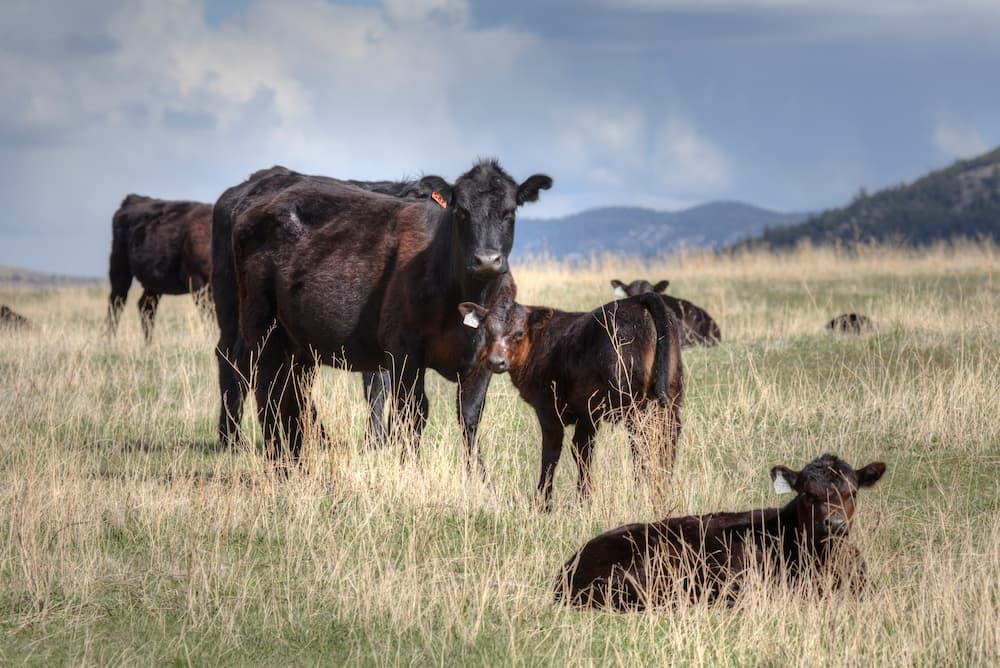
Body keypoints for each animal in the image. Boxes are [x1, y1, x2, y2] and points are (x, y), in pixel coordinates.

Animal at [107, 195, 213, 342]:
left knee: (146, 307)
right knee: (116, 304)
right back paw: (109, 342)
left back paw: (149, 344)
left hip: (154, 282)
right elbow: (209, 317)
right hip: (119, 266)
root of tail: (133, 199)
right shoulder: (198, 283)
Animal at [214, 160, 550, 469]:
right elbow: (410, 409)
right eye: (462, 212)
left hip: (296, 341)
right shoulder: (403, 350)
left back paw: (298, 453)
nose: (487, 260)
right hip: (257, 324)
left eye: (509, 212)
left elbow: (469, 415)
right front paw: (406, 465)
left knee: (291, 391)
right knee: (260, 382)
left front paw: (477, 476)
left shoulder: (483, 359)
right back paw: (266, 454)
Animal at [458, 292, 683, 510]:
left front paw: (543, 502)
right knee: (668, 436)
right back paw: (664, 487)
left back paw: (642, 492)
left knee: (643, 440)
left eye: (519, 334)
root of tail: (639, 299)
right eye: (487, 331)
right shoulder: (588, 412)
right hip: (671, 394)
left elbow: (551, 452)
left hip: (633, 401)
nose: (496, 362)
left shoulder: (549, 408)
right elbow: (583, 450)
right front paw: (584, 499)